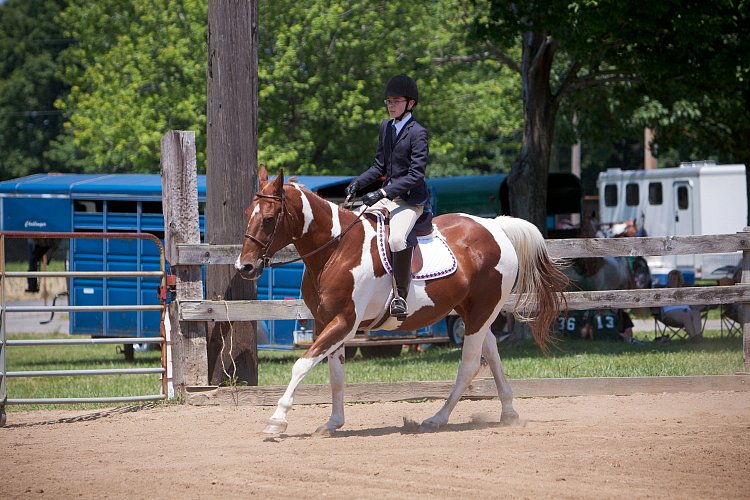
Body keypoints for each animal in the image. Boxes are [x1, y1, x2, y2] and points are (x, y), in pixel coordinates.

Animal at [238, 168, 568, 434]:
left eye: (269, 219)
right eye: (246, 213)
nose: (245, 267)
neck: (336, 249)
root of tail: (495, 227)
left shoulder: (345, 321)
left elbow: (302, 365)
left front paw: (277, 420)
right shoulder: (326, 321)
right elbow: (336, 374)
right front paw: (333, 423)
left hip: (481, 312)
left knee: (470, 364)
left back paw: (437, 419)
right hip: (474, 313)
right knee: (492, 354)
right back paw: (508, 413)